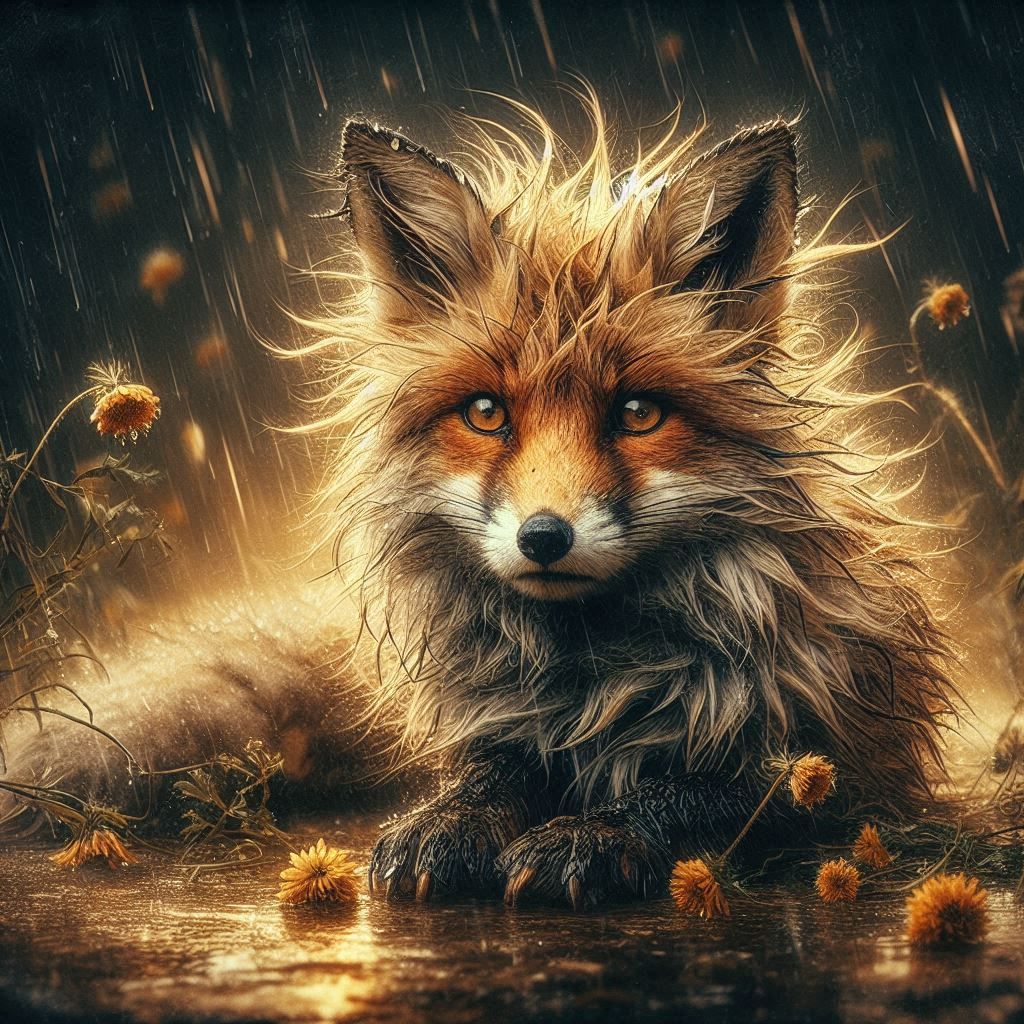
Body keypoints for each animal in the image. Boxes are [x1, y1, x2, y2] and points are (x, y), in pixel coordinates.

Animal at [2, 96, 957, 909]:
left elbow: (695, 792)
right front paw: (452, 825)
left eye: (638, 413)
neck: (588, 671)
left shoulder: (840, 768)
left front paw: (590, 836)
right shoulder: (500, 727)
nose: (545, 537)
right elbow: (490, 778)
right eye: (487, 413)